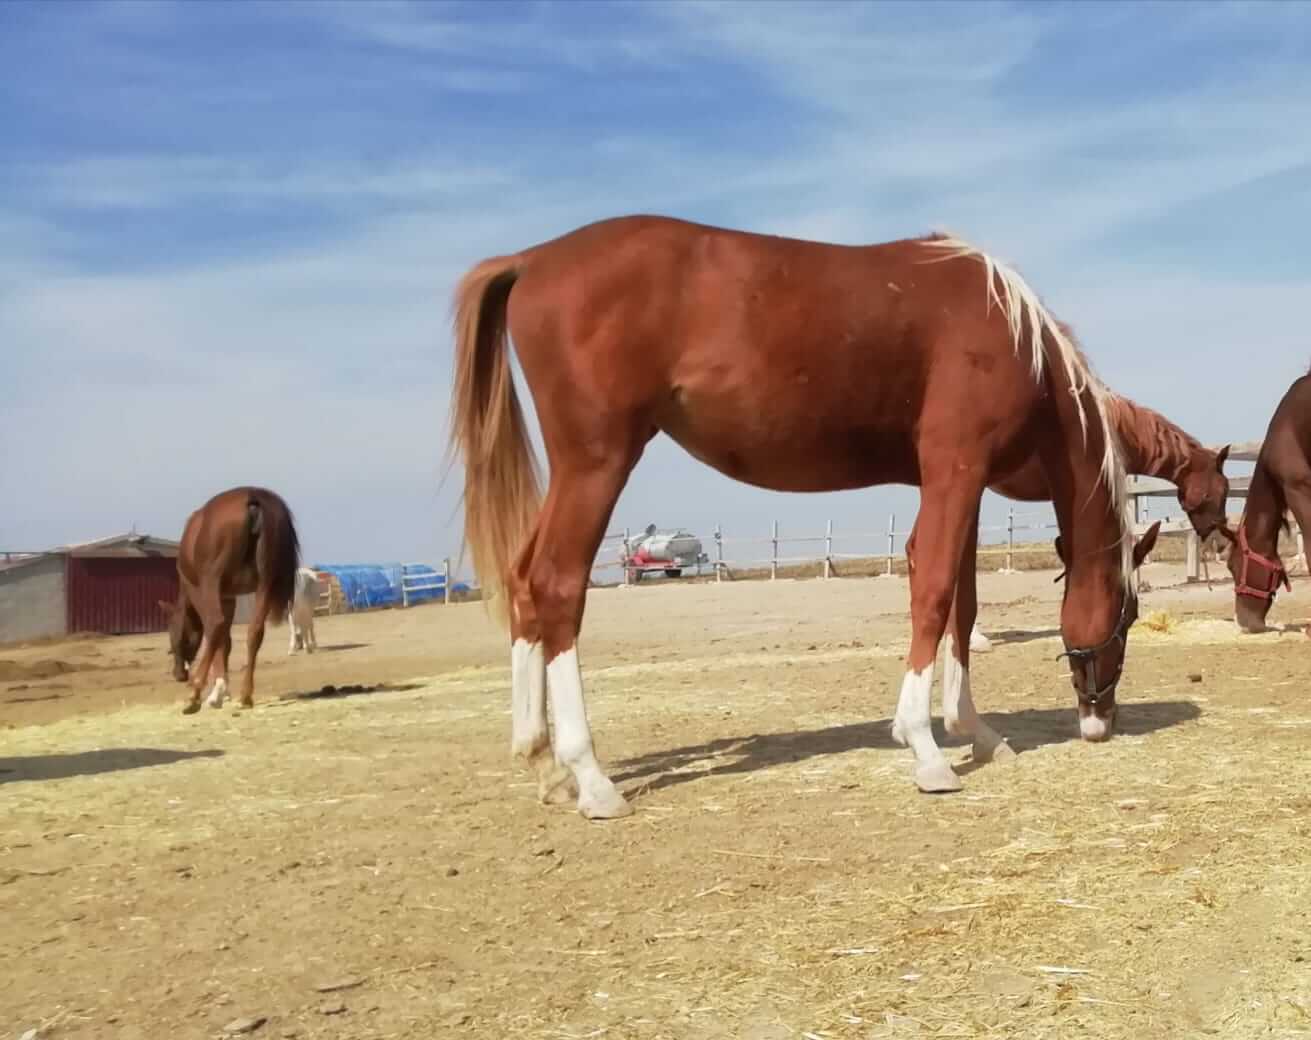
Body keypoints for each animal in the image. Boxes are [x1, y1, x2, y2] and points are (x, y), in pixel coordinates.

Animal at [157, 487, 300, 713]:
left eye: (174, 633)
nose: (179, 674)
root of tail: (253, 499)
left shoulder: (201, 591)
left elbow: (214, 632)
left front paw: (217, 691)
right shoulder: (228, 597)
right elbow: (227, 641)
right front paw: (222, 689)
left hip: (212, 581)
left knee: (215, 624)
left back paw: (195, 694)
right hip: (265, 583)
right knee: (255, 631)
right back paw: (245, 696)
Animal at [448, 212, 1158, 818]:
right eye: (1127, 614)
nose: (1101, 721)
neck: (1012, 334)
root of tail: (533, 259)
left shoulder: (964, 480)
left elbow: (964, 602)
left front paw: (974, 730)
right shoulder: (954, 467)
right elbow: (932, 590)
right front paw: (925, 747)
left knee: (522, 582)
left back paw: (543, 763)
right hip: (595, 463)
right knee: (557, 585)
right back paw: (591, 778)